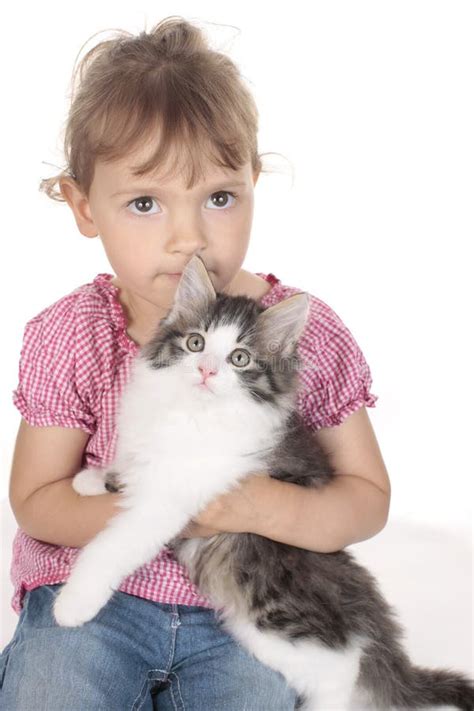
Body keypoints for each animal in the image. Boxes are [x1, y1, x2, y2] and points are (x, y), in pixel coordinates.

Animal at [53, 256, 472, 711]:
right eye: (196, 343)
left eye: (239, 358)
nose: (206, 370)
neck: (190, 409)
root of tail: (368, 613)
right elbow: (128, 465)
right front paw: (93, 479)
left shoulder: (172, 499)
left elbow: (111, 547)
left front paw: (73, 603)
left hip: (273, 616)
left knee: (342, 669)